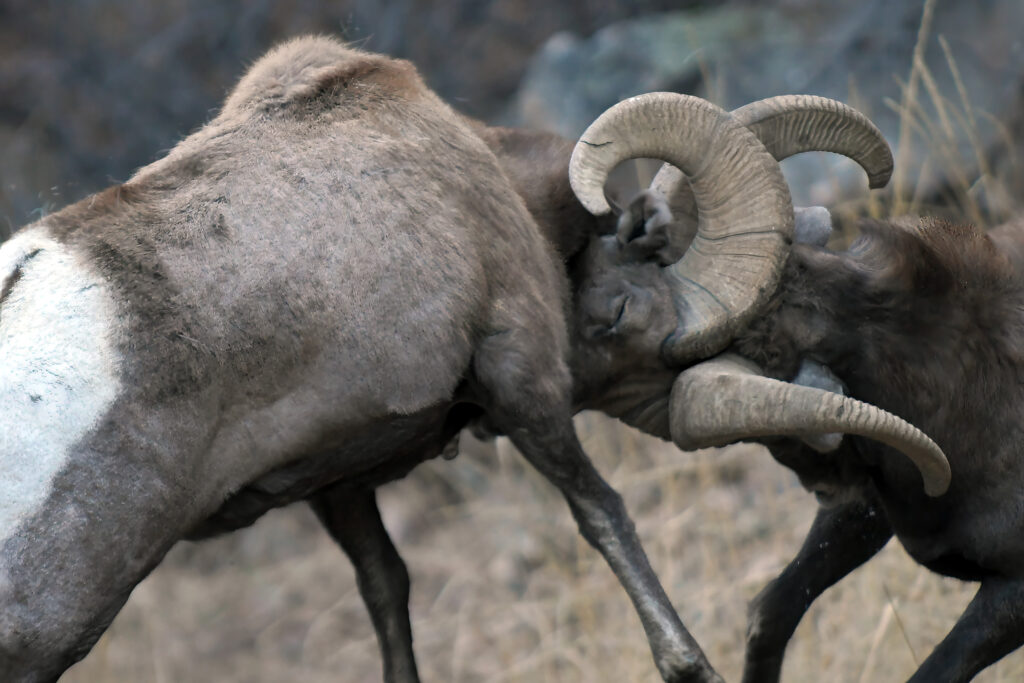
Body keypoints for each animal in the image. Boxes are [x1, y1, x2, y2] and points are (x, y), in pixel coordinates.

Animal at [0, 37, 942, 683]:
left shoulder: (335, 482)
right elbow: (604, 515)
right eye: (624, 317)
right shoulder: (525, 381)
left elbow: (387, 589)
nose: (827, 475)